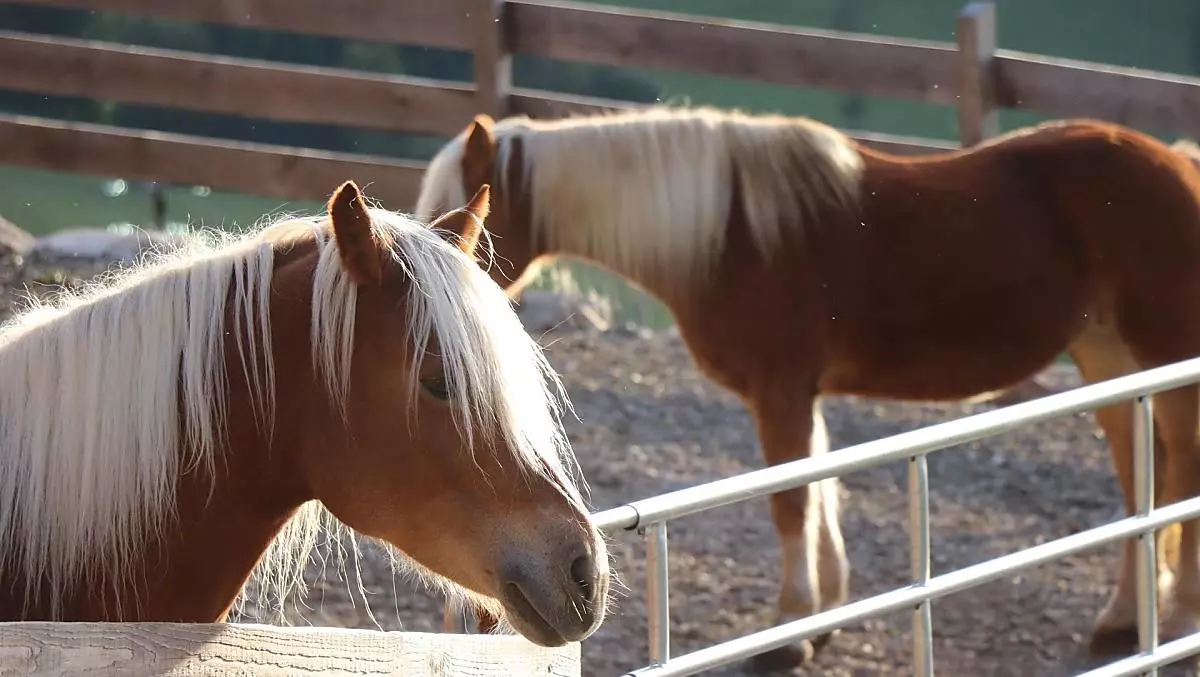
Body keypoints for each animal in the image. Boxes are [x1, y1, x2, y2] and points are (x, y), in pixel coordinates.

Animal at [416, 104, 1200, 668]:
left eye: (468, 224)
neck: (728, 234)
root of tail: (1179, 166)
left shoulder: (781, 391)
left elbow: (791, 500)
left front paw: (789, 632)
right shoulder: (802, 394)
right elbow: (819, 489)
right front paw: (822, 618)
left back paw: (1178, 613)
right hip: (1107, 358)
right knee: (1143, 476)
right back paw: (1124, 621)